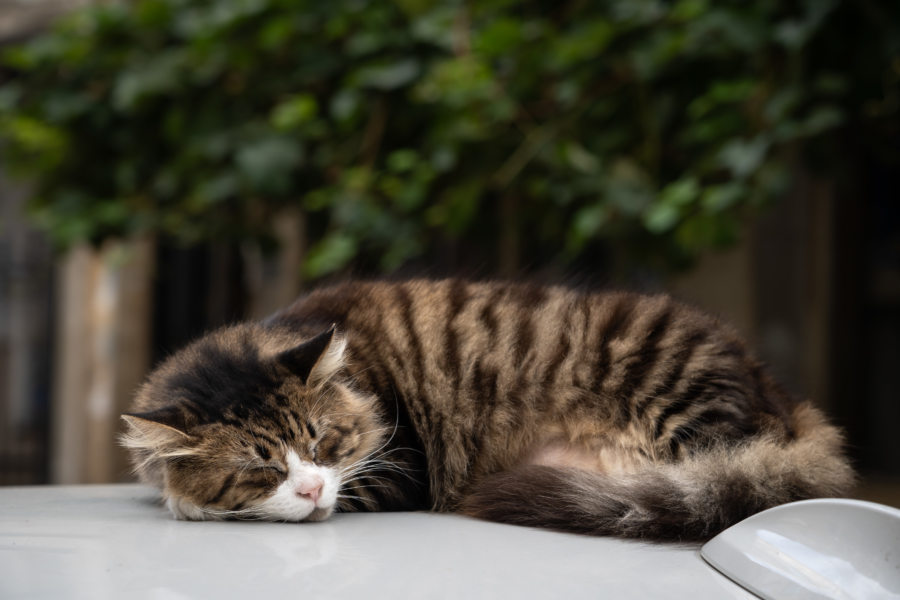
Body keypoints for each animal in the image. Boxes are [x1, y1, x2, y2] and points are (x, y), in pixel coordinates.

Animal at [123, 278, 856, 540]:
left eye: (324, 443)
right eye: (260, 469)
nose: (307, 488)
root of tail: (783, 396)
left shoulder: (401, 465)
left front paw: (186, 503)